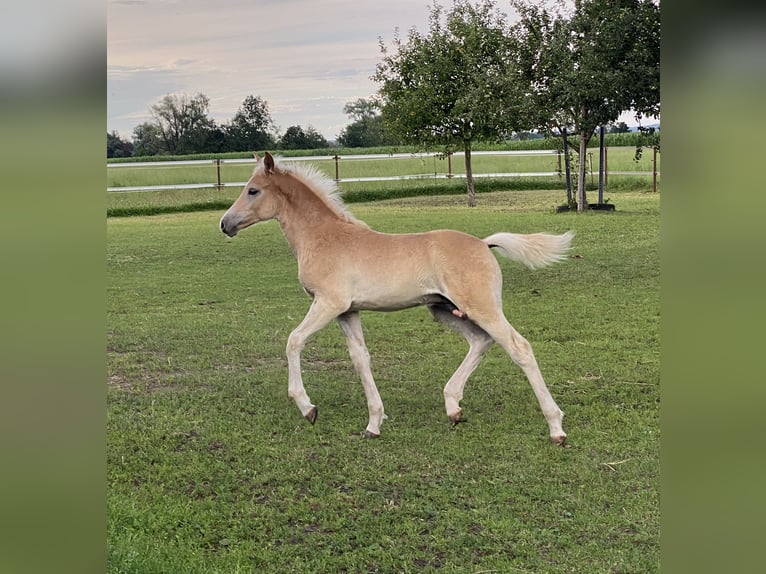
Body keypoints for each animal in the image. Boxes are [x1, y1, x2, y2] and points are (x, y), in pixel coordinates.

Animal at [219, 153, 572, 446]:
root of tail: (484, 244)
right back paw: (453, 407)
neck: (324, 238)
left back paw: (556, 428)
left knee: (519, 347)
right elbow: (360, 359)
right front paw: (374, 423)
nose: (225, 224)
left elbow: (294, 341)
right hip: (444, 309)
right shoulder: (347, 312)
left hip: (480, 307)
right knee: (481, 341)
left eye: (253, 191)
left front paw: (308, 408)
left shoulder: (328, 304)